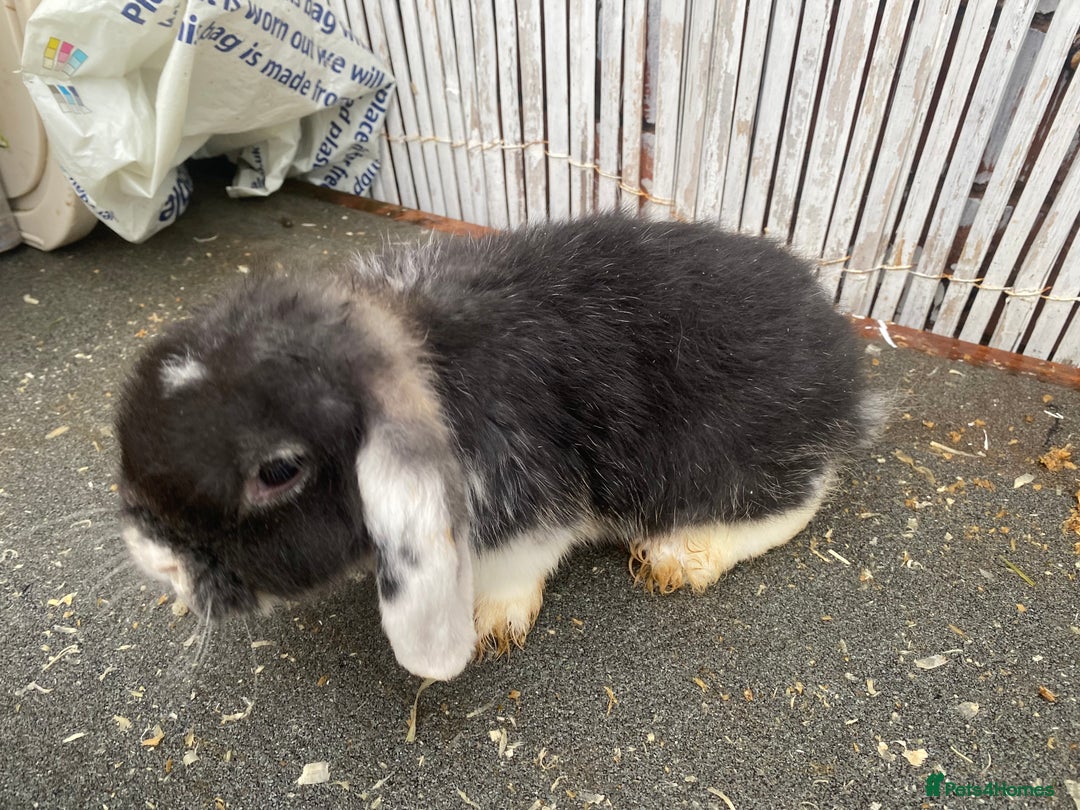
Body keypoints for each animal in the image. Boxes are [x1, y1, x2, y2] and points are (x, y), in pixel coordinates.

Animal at [115, 214, 881, 681]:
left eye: (278, 471)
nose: (155, 558)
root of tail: (845, 361)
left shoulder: (532, 496)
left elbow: (519, 562)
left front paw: (487, 624)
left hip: (716, 459)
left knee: (797, 498)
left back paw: (680, 557)